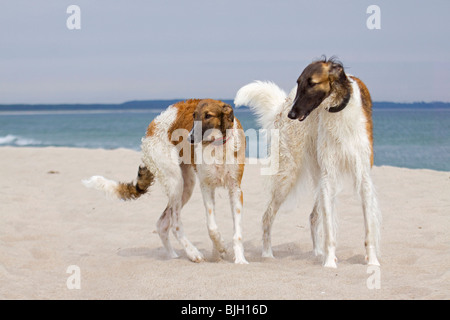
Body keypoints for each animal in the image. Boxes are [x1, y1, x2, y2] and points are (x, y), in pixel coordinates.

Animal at [82, 99, 248, 264]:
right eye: (194, 115)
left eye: (208, 115)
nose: (190, 139)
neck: (217, 145)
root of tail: (150, 128)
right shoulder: (206, 187)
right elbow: (212, 228)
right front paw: (220, 247)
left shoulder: (235, 189)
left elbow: (237, 232)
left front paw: (237, 259)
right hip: (176, 182)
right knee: (175, 225)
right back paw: (192, 252)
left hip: (185, 186)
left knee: (162, 223)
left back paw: (173, 255)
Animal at [234, 57, 382, 268]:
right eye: (298, 83)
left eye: (312, 84)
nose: (292, 114)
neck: (338, 110)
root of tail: (283, 105)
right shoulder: (329, 174)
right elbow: (329, 229)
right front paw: (330, 262)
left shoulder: (363, 176)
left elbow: (368, 226)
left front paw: (372, 261)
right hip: (288, 174)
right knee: (267, 216)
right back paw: (268, 254)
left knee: (313, 216)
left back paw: (317, 252)